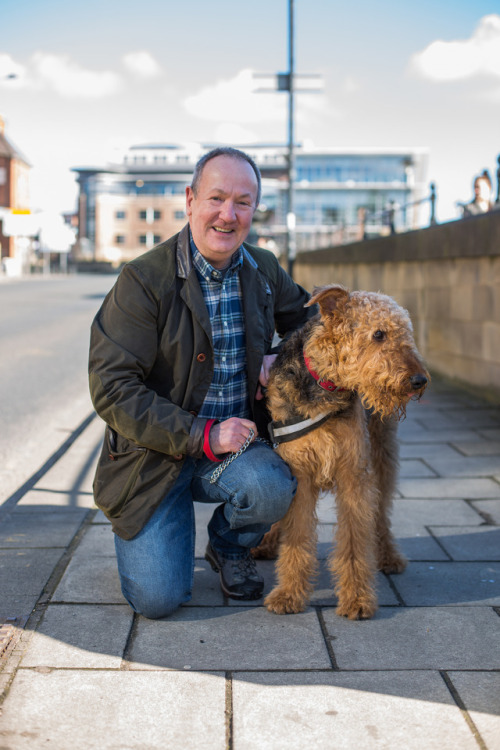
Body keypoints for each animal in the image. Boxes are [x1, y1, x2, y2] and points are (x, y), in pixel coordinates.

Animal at [256, 284, 428, 620]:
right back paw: (267, 541)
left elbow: (353, 544)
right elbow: (296, 536)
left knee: (381, 514)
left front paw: (358, 600)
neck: (326, 387)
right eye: (378, 334)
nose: (419, 380)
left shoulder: (353, 474)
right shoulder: (299, 472)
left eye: (406, 332)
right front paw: (288, 595)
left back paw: (389, 556)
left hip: (381, 458)